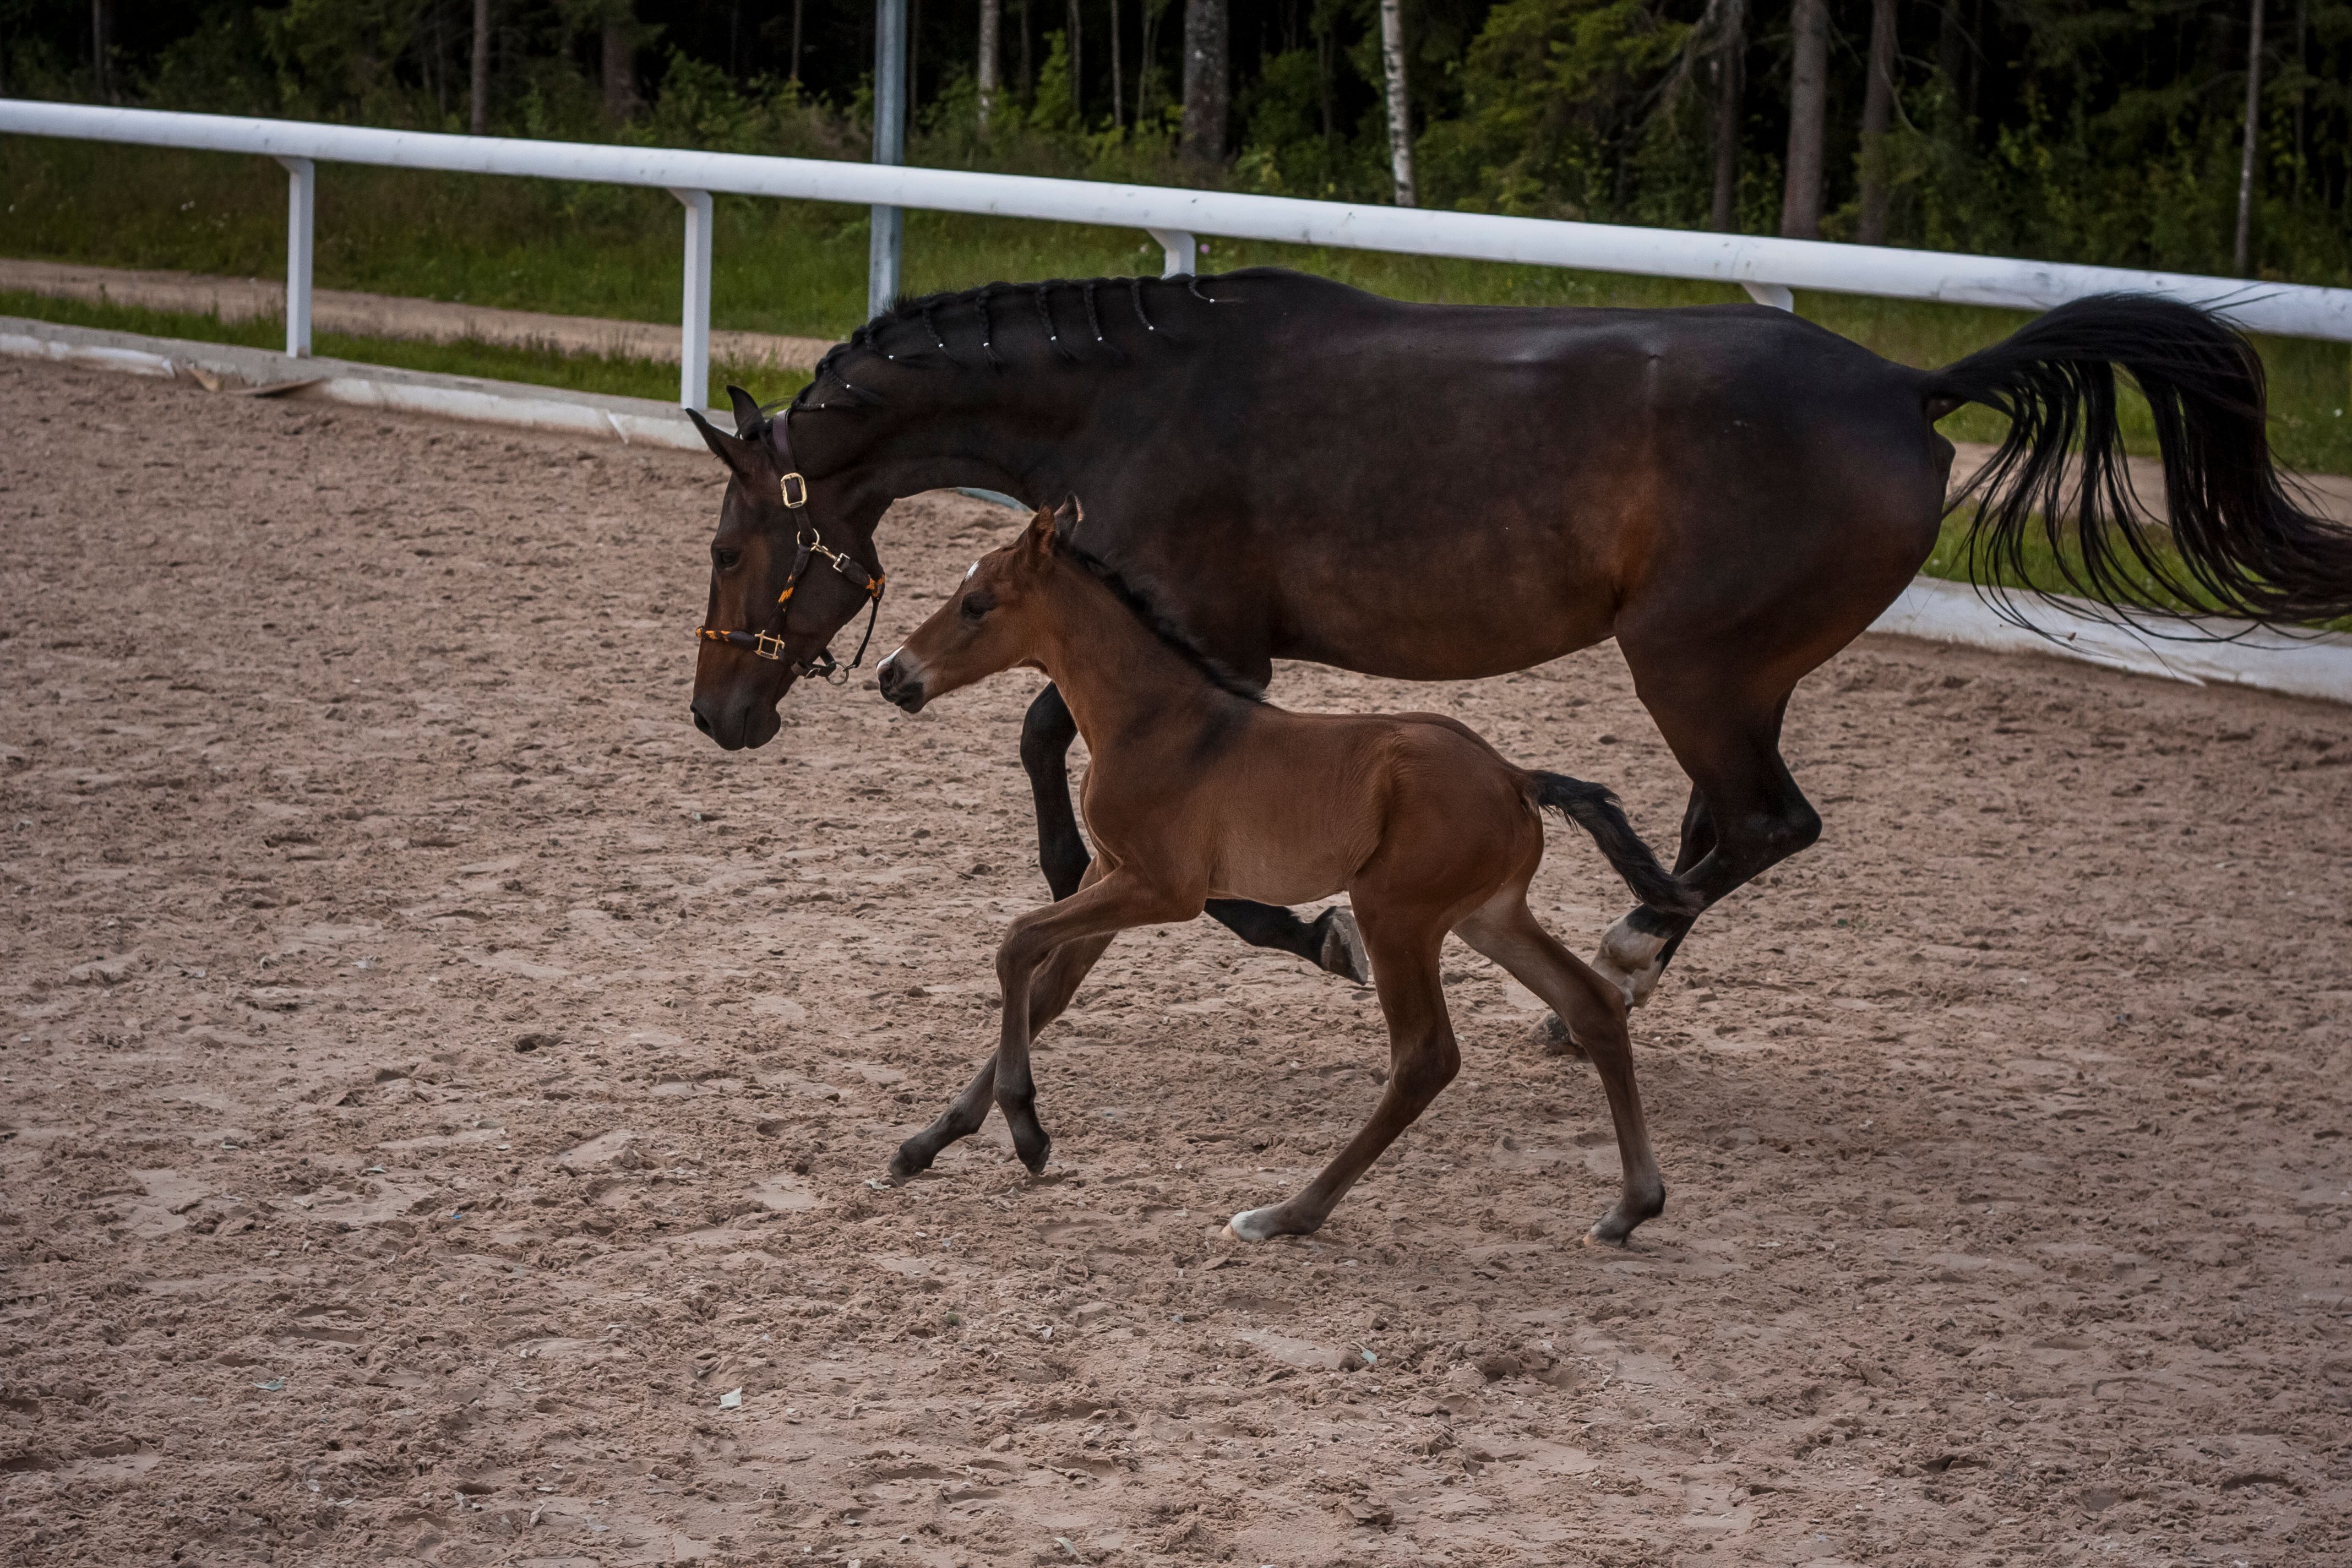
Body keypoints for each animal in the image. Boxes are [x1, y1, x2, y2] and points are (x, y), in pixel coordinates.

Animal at [686, 270, 2352, 1015]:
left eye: (726, 545)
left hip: (1692, 664)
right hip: (1736, 677)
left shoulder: (1212, 644)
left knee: (1763, 822)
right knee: (1723, 822)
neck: (1135, 400)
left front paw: (1294, 928)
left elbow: (1055, 742)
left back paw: (1619, 954)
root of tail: (1905, 385)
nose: (716, 713)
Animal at [873, 498, 1702, 1244]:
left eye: (976, 605)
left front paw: (1028, 1132)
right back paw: (1631, 1209)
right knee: (1594, 1005)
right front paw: (925, 1145)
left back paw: (1285, 1215)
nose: (890, 674)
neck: (1155, 720)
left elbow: (1016, 942)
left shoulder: (1161, 889)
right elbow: (1048, 991)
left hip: (1395, 914)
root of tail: (1515, 777)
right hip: (1487, 917)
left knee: (1425, 1059)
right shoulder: (1110, 874)